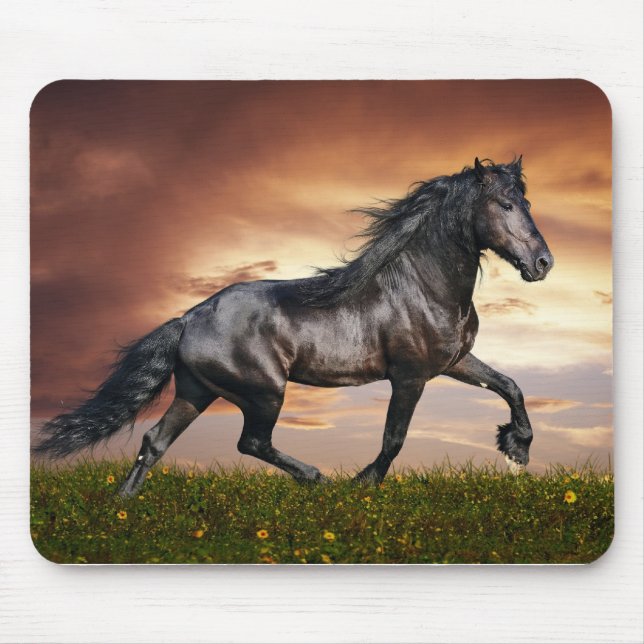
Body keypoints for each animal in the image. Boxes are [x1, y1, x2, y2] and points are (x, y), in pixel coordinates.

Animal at [35, 157, 553, 497]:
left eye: (526, 201)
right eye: (505, 205)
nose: (543, 263)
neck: (422, 286)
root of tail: (189, 319)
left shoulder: (454, 361)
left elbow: (510, 385)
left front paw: (517, 449)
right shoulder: (410, 376)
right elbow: (394, 438)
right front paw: (361, 484)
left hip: (195, 392)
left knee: (154, 442)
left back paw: (123, 507)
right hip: (264, 391)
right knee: (251, 442)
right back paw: (316, 477)